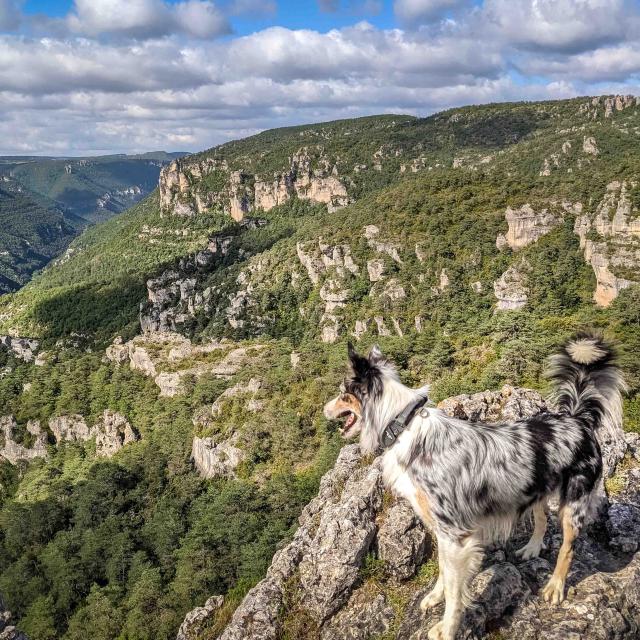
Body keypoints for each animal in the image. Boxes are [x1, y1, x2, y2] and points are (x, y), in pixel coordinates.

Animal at [324, 336, 624, 640]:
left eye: (343, 395)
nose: (324, 410)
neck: (402, 425)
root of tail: (577, 418)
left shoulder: (455, 535)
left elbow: (455, 590)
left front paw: (448, 627)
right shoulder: (441, 530)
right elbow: (444, 571)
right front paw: (436, 596)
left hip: (574, 502)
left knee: (568, 546)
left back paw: (555, 585)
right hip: (536, 488)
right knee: (542, 517)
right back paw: (532, 548)